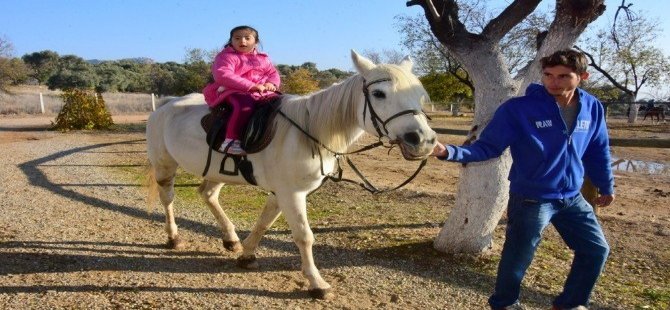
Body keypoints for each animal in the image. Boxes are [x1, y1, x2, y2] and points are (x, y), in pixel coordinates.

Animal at [146, 50, 438, 298]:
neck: (308, 132)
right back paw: (174, 237)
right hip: (165, 165)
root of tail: (165, 105)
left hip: (217, 172)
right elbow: (304, 236)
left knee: (207, 195)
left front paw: (247, 255)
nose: (423, 141)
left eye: (420, 95)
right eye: (378, 93)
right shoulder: (292, 194)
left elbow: (264, 223)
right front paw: (317, 283)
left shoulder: (280, 194)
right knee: (168, 198)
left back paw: (230, 239)